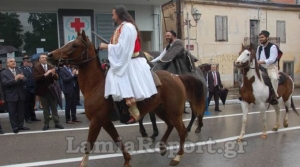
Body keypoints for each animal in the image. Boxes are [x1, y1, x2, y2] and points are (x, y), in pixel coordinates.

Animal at [47, 30, 206, 167]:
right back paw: (162, 146)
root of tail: (177, 76)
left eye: (75, 45)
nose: (50, 55)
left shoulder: (96, 121)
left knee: (182, 130)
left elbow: (89, 143)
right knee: (170, 125)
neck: (96, 86)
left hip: (174, 111)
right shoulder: (105, 121)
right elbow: (117, 139)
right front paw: (127, 160)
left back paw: (178, 156)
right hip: (160, 109)